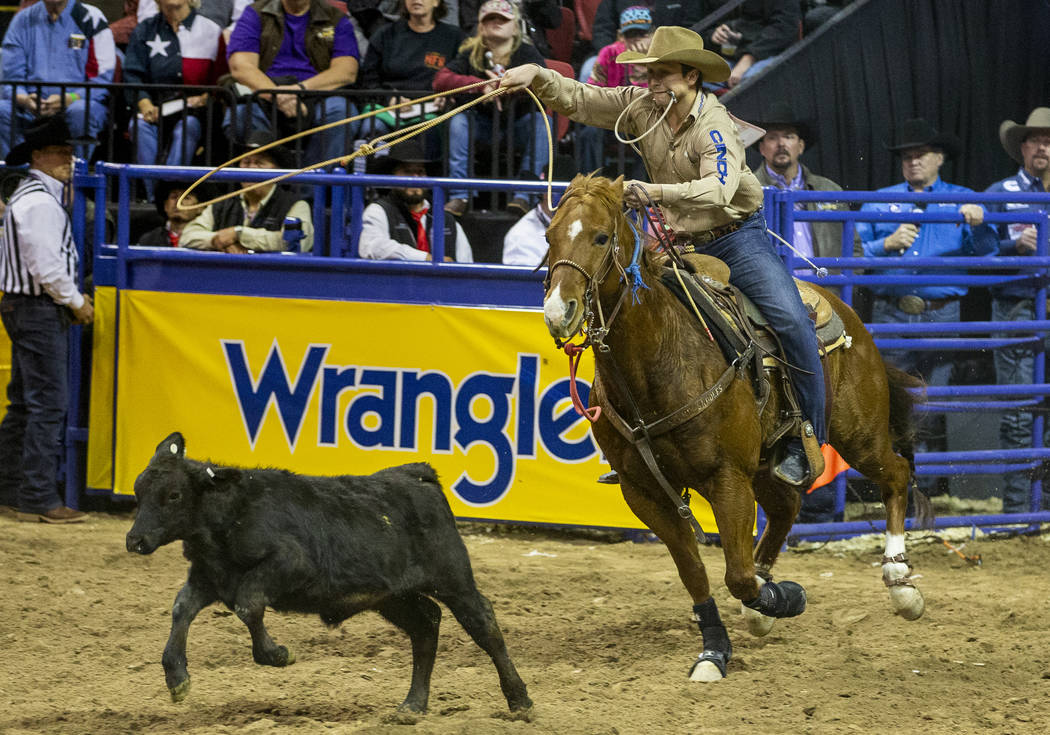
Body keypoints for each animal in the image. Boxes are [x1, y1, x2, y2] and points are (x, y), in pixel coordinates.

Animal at [541, 173, 928, 684]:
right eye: (550, 237)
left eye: (601, 237)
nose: (557, 311)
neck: (660, 357)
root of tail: (848, 316)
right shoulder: (643, 492)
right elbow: (697, 574)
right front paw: (716, 650)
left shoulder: (727, 478)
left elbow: (737, 575)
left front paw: (785, 598)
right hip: (768, 462)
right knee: (785, 507)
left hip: (858, 435)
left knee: (897, 475)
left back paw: (901, 584)